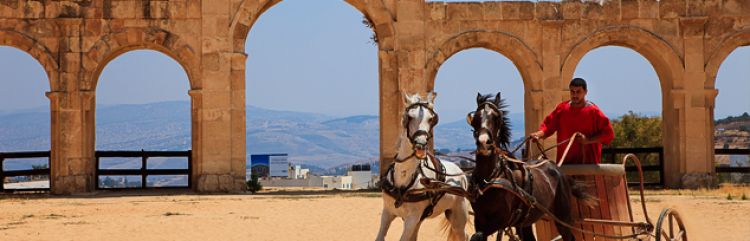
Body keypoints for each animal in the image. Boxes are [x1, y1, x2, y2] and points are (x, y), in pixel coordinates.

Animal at [376, 93, 470, 241]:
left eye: (431, 119)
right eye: (409, 117)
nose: (420, 144)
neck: (404, 177)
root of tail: (460, 172)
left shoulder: (412, 219)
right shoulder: (388, 212)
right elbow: (379, 236)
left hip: (458, 216)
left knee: (463, 235)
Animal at [468, 92, 596, 241]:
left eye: (496, 117)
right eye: (475, 117)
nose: (484, 143)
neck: (490, 177)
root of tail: (558, 170)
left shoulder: (501, 219)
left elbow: (477, 236)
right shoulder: (479, 219)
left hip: (562, 217)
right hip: (525, 222)